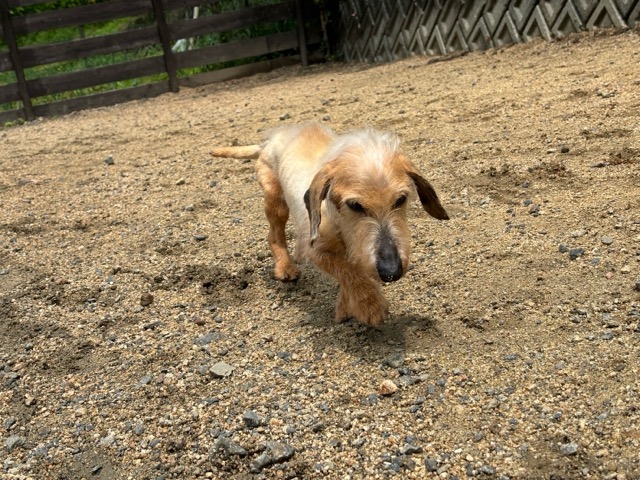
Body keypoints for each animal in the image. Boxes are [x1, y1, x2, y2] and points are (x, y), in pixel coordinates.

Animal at [211, 122, 449, 326]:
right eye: (355, 205)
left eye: (400, 199)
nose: (391, 272)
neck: (341, 225)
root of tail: (269, 141)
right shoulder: (318, 251)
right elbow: (348, 271)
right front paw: (370, 305)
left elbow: (350, 270)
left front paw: (345, 307)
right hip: (275, 200)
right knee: (274, 235)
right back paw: (285, 267)